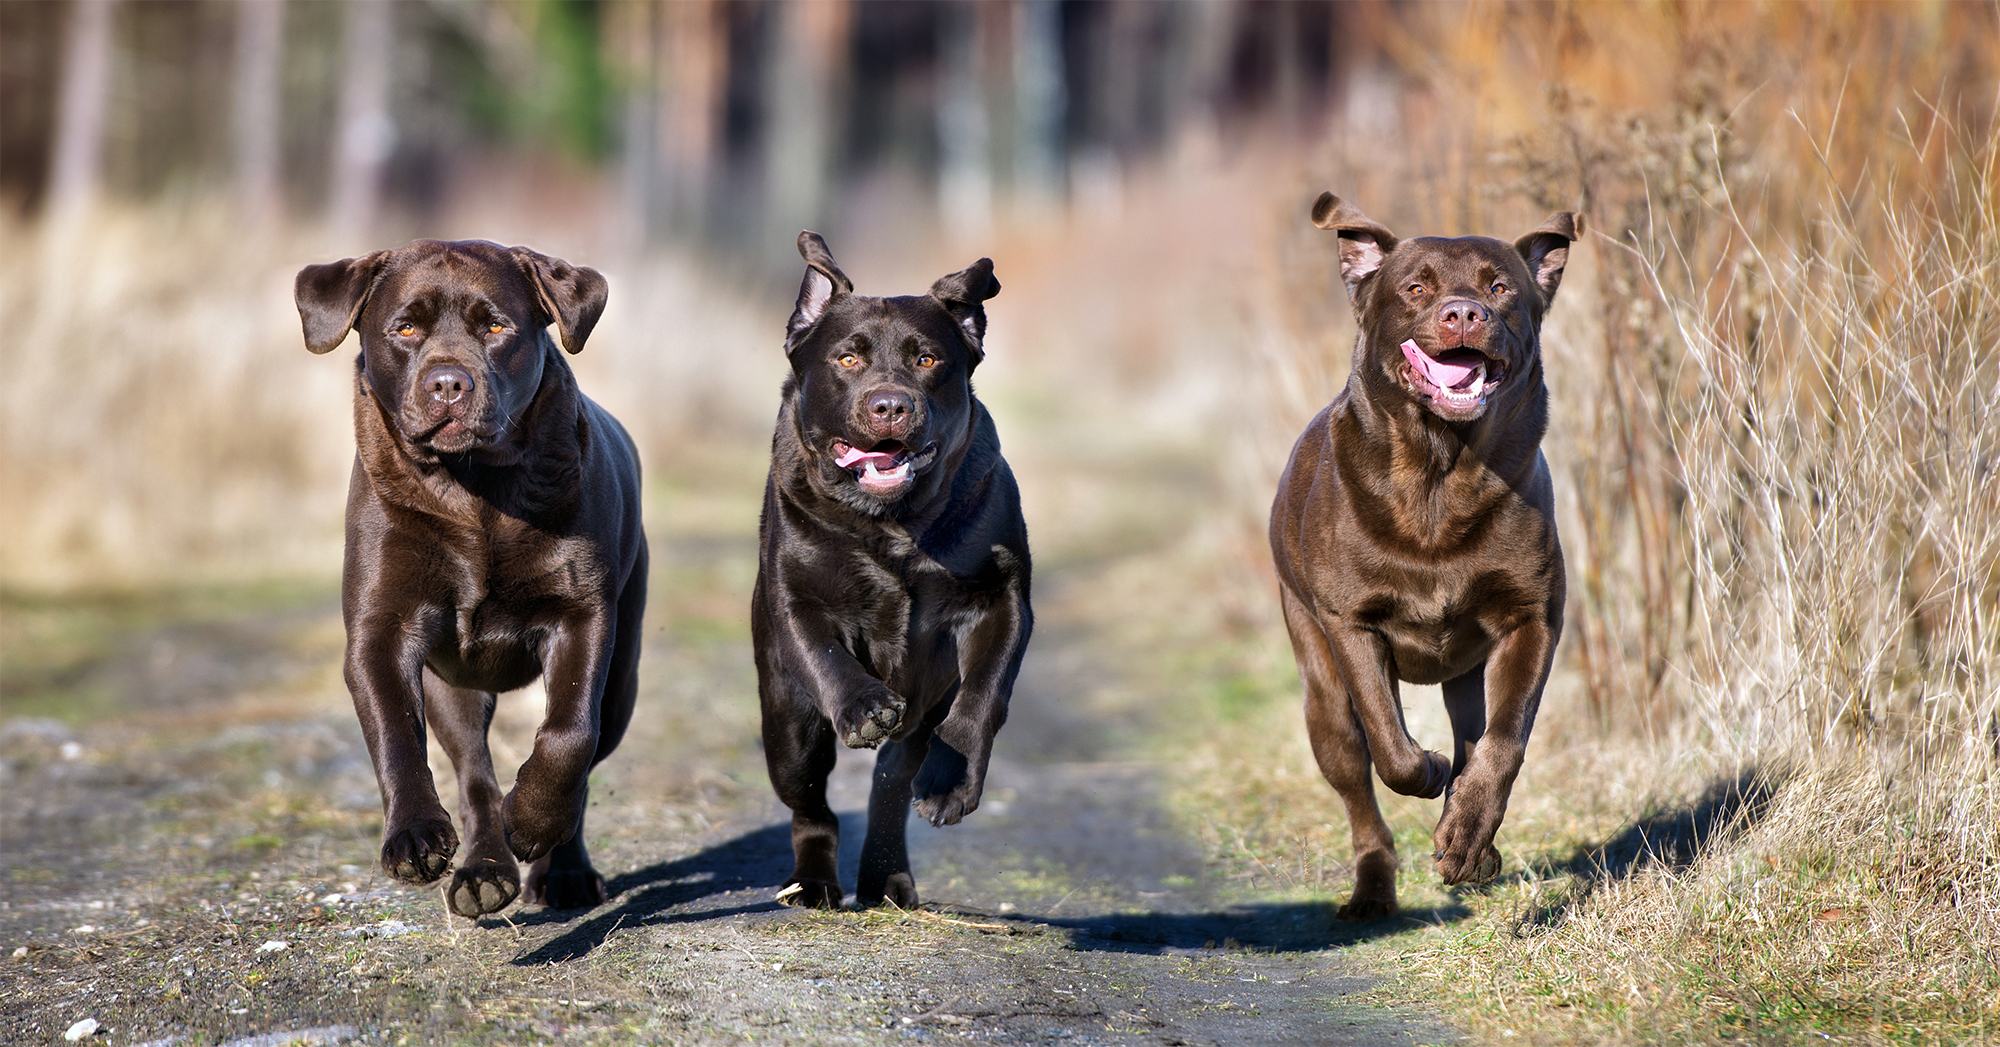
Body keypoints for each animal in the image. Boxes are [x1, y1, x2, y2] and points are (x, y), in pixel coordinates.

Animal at [292, 236, 640, 915]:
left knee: (584, 759)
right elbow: (396, 737)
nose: (449, 382)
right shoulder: (380, 630)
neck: (472, 487)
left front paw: (532, 819)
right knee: (475, 771)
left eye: (496, 327)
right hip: (453, 685)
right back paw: (483, 872)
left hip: (624, 679)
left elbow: (569, 733)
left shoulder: (582, 615)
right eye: (405, 328)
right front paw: (415, 838)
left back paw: (561, 870)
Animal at [752, 228, 1032, 907]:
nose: (890, 406)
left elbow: (984, 694)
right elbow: (826, 654)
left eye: (928, 360)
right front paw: (863, 707)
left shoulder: (1003, 595)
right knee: (811, 804)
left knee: (892, 779)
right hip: (788, 726)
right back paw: (813, 882)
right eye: (848, 360)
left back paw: (885, 876)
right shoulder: (795, 598)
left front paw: (951, 785)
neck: (893, 525)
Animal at [1272, 191, 1584, 919]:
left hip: (1465, 670)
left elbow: (1504, 740)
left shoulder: (1533, 618)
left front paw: (1465, 837)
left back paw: (1472, 839)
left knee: (1475, 730)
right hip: (1319, 685)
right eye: (1415, 288)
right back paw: (1371, 889)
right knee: (1357, 774)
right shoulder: (1352, 624)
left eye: (1500, 288)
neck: (1441, 472)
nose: (1463, 313)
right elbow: (1393, 747)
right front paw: (1431, 767)